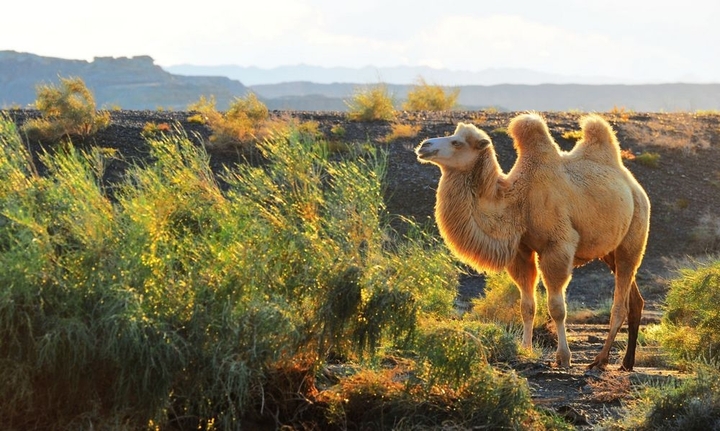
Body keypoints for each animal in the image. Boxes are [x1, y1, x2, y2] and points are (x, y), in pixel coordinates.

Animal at [414, 113, 648, 370]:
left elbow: (557, 308)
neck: (519, 201)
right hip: (610, 252)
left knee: (620, 301)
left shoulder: (558, 245)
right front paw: (525, 349)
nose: (424, 146)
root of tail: (634, 185)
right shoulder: (521, 250)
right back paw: (626, 362)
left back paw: (601, 359)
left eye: (457, 142)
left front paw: (563, 357)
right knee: (634, 300)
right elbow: (526, 306)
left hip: (633, 237)